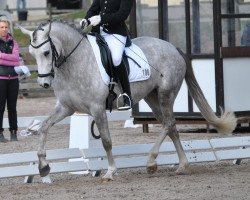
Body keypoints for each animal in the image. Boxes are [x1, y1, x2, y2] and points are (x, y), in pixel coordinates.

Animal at [19, 20, 236, 181]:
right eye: (32, 53)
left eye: (46, 52)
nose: (44, 83)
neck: (74, 63)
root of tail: (173, 47)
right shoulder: (66, 108)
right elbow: (43, 127)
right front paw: (43, 166)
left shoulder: (97, 109)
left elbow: (106, 141)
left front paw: (110, 172)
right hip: (151, 97)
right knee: (171, 126)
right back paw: (182, 165)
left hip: (166, 94)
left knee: (169, 124)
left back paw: (151, 161)